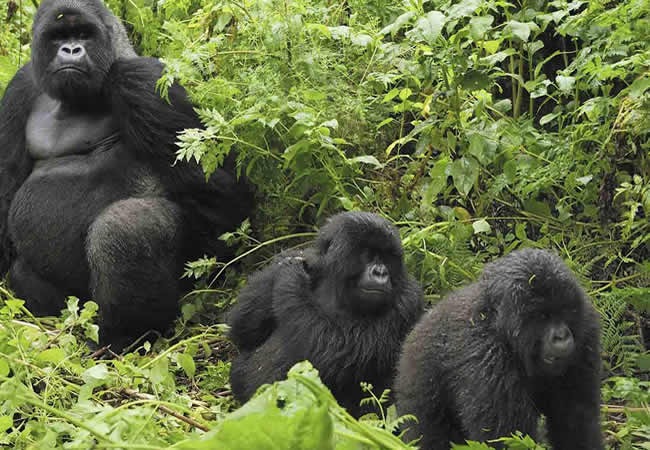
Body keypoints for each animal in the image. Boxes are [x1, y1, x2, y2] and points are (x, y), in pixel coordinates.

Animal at [0, 0, 252, 350]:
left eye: (84, 34)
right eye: (58, 36)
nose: (71, 49)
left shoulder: (142, 80)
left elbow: (225, 201)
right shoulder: (20, 86)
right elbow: (5, 188)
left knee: (126, 228)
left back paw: (126, 336)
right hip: (76, 305)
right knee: (28, 276)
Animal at [228, 213, 426, 416]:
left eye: (387, 257)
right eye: (368, 255)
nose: (380, 271)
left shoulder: (408, 300)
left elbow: (332, 349)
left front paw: (291, 274)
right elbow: (241, 330)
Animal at [390, 248, 604, 448]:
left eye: (565, 311)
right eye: (542, 316)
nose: (561, 336)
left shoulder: (586, 328)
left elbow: (576, 420)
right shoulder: (487, 355)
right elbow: (505, 436)